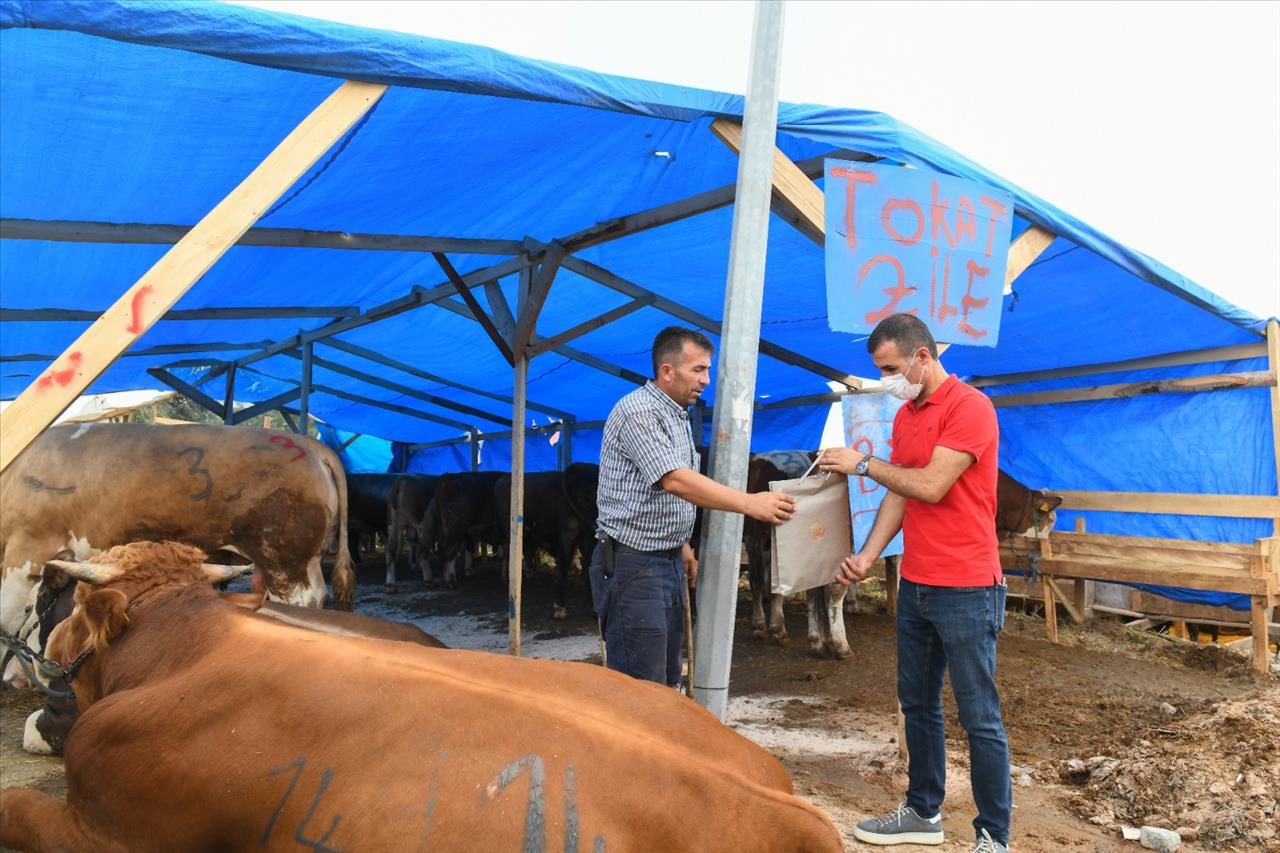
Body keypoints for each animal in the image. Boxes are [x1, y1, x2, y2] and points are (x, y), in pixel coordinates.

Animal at [1, 417, 355, 630]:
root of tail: (312, 446)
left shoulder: (25, 550)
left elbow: (7, 615)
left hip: (283, 561)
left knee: (301, 601)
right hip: (305, 561)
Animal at [2, 545, 849, 850]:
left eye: (67, 605)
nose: (48, 648)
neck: (186, 646)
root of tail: (777, 796)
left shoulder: (113, 828)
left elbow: (14, 805)